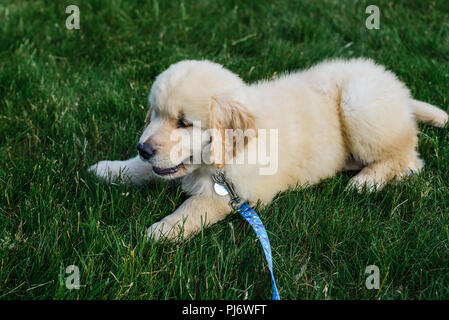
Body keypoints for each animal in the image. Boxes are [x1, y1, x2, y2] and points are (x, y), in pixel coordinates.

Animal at [89, 58, 446, 241]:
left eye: (184, 123)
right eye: (156, 114)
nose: (144, 147)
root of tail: (396, 88)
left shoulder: (235, 191)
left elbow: (196, 207)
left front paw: (164, 230)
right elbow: (142, 170)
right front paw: (110, 169)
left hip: (360, 102)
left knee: (410, 159)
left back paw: (367, 181)